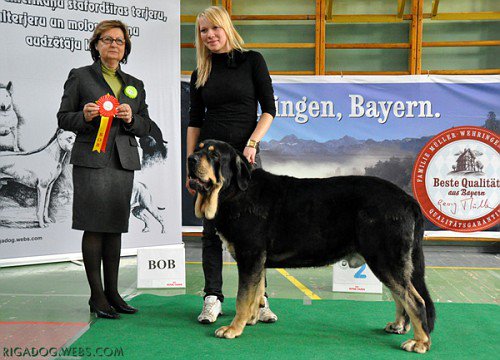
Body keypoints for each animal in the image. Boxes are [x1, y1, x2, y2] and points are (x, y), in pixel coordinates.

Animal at [188, 139, 434, 352]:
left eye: (214, 155)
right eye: (199, 148)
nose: (190, 158)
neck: (236, 192)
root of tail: (408, 200)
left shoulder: (250, 255)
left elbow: (243, 297)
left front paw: (234, 328)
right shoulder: (257, 260)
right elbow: (255, 295)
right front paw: (250, 320)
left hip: (385, 259)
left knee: (415, 300)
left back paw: (420, 342)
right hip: (388, 262)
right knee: (401, 296)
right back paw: (399, 326)